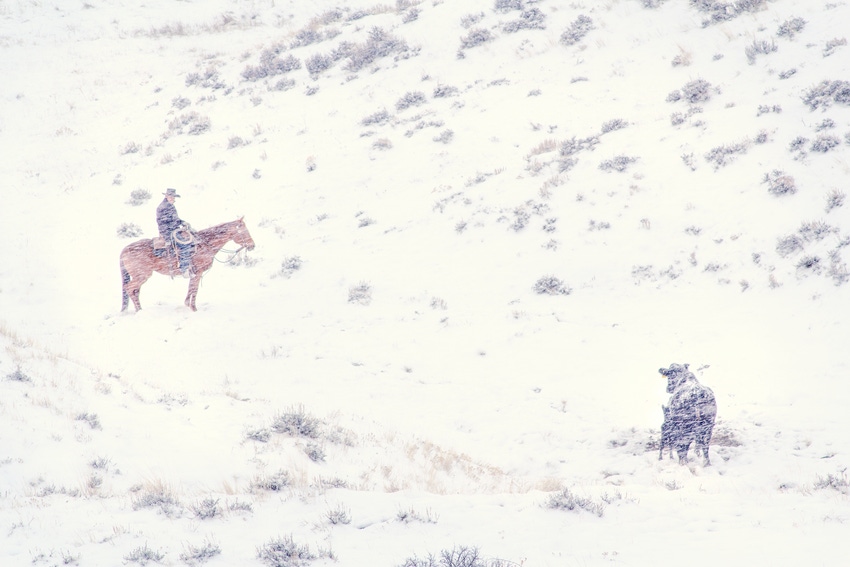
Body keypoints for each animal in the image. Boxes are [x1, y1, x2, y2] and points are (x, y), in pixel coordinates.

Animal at [119, 220, 253, 312]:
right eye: (244, 231)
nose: (252, 245)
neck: (204, 243)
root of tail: (124, 250)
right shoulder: (198, 273)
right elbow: (195, 289)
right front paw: (193, 308)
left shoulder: (194, 274)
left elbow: (191, 288)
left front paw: (187, 304)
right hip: (142, 276)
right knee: (129, 288)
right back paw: (139, 310)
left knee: (135, 291)